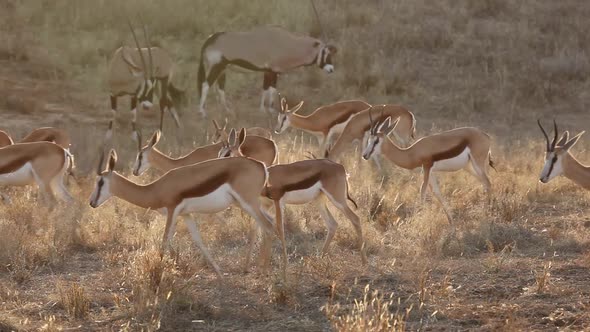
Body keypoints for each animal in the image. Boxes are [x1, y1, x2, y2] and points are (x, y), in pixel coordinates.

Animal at [91, 149, 286, 276]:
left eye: (100, 182)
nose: (92, 202)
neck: (155, 189)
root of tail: (261, 166)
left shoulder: (172, 210)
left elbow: (164, 241)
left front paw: (157, 275)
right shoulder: (186, 215)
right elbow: (198, 240)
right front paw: (219, 273)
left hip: (248, 203)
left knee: (268, 227)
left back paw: (264, 273)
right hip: (245, 204)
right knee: (270, 224)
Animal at [198, 25, 338, 116]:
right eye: (325, 52)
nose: (331, 69)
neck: (288, 44)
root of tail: (210, 39)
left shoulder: (268, 72)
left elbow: (266, 89)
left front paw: (262, 110)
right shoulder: (272, 71)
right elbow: (271, 90)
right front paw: (270, 110)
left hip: (222, 70)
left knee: (219, 88)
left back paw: (226, 110)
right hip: (217, 67)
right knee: (205, 85)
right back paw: (202, 111)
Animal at [366, 114, 494, 223]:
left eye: (376, 140)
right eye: (369, 140)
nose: (365, 155)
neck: (412, 152)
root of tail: (485, 135)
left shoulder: (427, 168)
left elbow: (422, 192)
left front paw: (418, 221)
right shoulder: (430, 172)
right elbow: (437, 193)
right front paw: (451, 220)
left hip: (477, 163)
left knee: (487, 182)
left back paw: (488, 214)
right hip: (468, 167)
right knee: (484, 183)